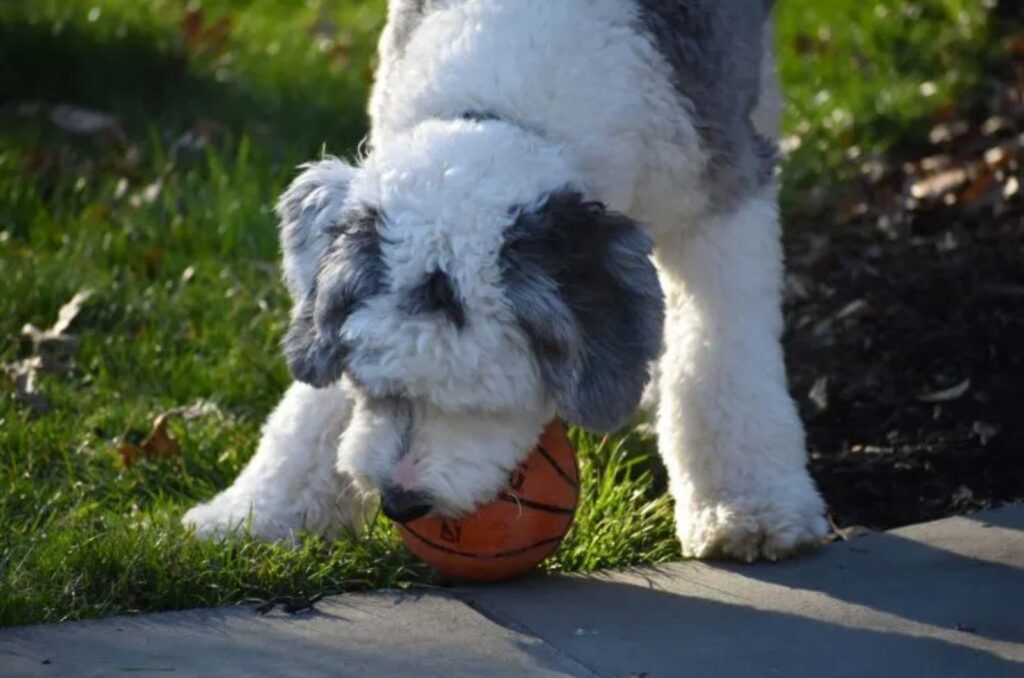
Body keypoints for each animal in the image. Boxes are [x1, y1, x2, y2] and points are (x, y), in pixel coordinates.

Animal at [184, 0, 831, 561]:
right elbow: (311, 410)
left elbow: (722, 359)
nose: (401, 503)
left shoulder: (718, 203)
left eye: (484, 404)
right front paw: (256, 515)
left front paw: (747, 507)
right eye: (372, 388)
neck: (507, 108)